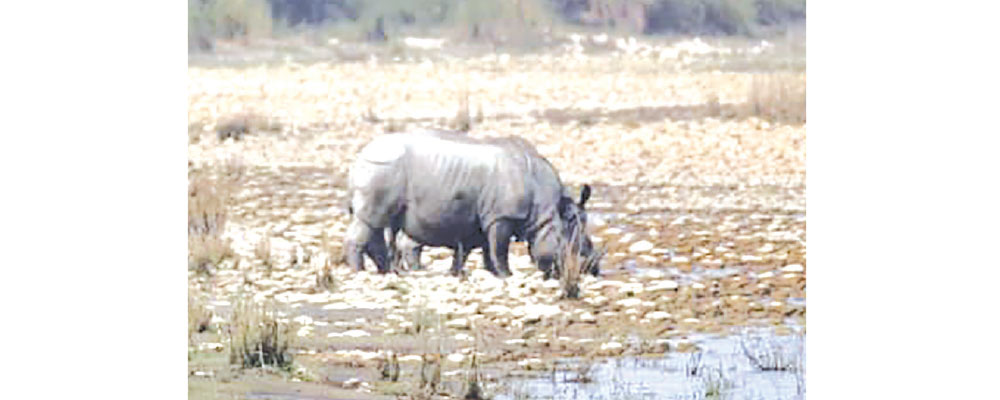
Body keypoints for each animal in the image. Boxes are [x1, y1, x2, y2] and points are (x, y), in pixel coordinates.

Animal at [345, 130, 599, 279]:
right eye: (574, 247)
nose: (593, 268)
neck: (548, 208)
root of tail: (360, 154)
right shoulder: (502, 216)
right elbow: (499, 248)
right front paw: (507, 274)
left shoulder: (485, 217)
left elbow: (482, 249)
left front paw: (486, 273)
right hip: (382, 168)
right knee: (370, 221)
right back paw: (360, 272)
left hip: (381, 169)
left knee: (377, 224)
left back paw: (385, 271)